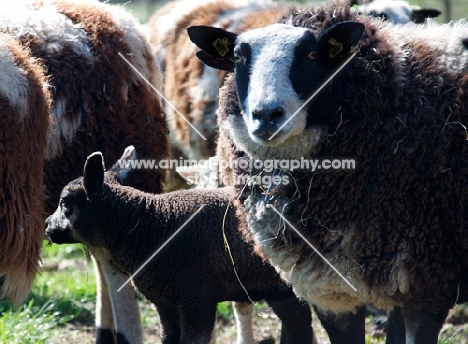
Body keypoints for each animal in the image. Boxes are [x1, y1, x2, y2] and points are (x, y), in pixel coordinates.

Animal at [44, 147, 318, 344]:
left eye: (65, 202)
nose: (47, 226)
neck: (150, 226)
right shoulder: (165, 303)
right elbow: (168, 339)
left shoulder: (197, 298)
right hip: (281, 288)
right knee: (298, 324)